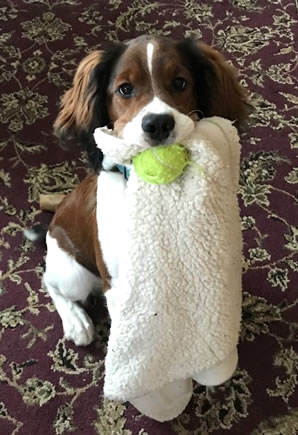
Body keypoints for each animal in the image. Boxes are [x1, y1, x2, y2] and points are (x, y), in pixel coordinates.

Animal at [26, 35, 249, 348]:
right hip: (75, 275)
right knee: (49, 280)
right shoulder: (120, 286)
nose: (158, 124)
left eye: (180, 82)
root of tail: (52, 226)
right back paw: (76, 321)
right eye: (125, 89)